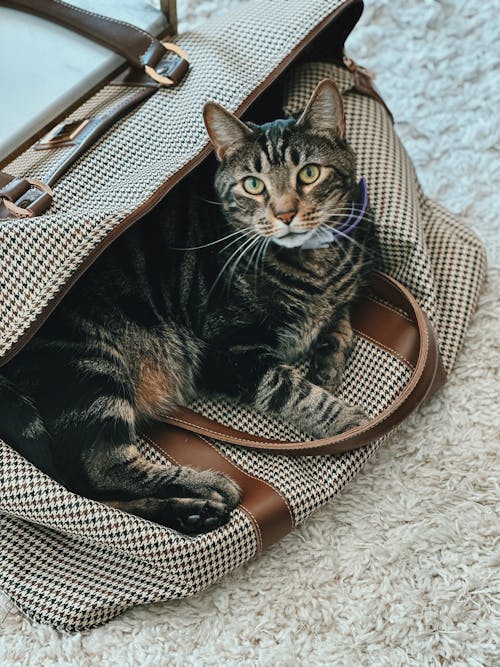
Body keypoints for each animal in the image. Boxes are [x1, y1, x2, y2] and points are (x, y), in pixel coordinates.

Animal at [0, 78, 376, 536]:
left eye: (309, 173)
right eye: (253, 185)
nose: (285, 213)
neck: (314, 263)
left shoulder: (340, 292)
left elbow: (340, 319)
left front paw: (328, 362)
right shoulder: (231, 352)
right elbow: (295, 392)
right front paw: (349, 423)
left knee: (91, 493)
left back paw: (192, 511)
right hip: (91, 368)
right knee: (100, 471)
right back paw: (208, 487)